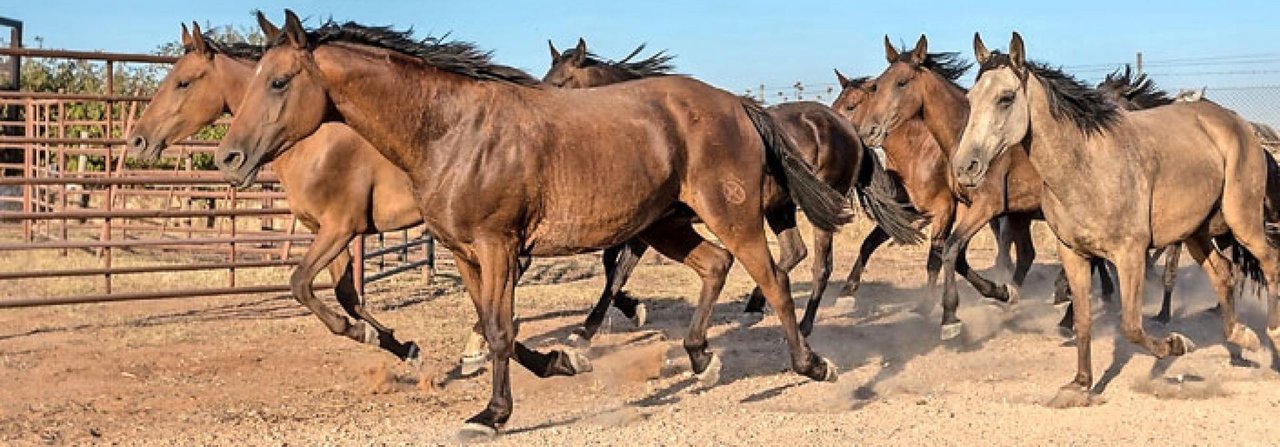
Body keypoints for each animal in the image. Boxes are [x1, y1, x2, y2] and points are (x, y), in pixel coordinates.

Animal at [124, 22, 419, 361]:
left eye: (183, 83)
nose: (137, 141)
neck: (314, 143)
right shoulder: (324, 229)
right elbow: (346, 294)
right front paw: (396, 343)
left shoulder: (341, 227)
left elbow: (300, 284)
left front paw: (365, 332)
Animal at [220, 12, 855, 438]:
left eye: (279, 81)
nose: (229, 157)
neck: (452, 131)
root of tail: (738, 104)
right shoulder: (465, 252)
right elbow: (492, 323)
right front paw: (559, 361)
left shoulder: (499, 246)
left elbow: (502, 329)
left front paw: (493, 414)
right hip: (665, 225)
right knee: (716, 265)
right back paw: (701, 358)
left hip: (734, 215)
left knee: (774, 279)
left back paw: (812, 364)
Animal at [957, 33, 1274, 404]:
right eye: (970, 98)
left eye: (1006, 98)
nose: (965, 167)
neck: (1086, 167)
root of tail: (1235, 122)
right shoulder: (1073, 253)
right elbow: (1083, 320)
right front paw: (1079, 384)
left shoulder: (1130, 254)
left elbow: (1132, 326)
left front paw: (1177, 344)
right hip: (1197, 231)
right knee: (1224, 274)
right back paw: (1242, 338)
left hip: (1242, 221)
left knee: (1270, 262)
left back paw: (1271, 336)